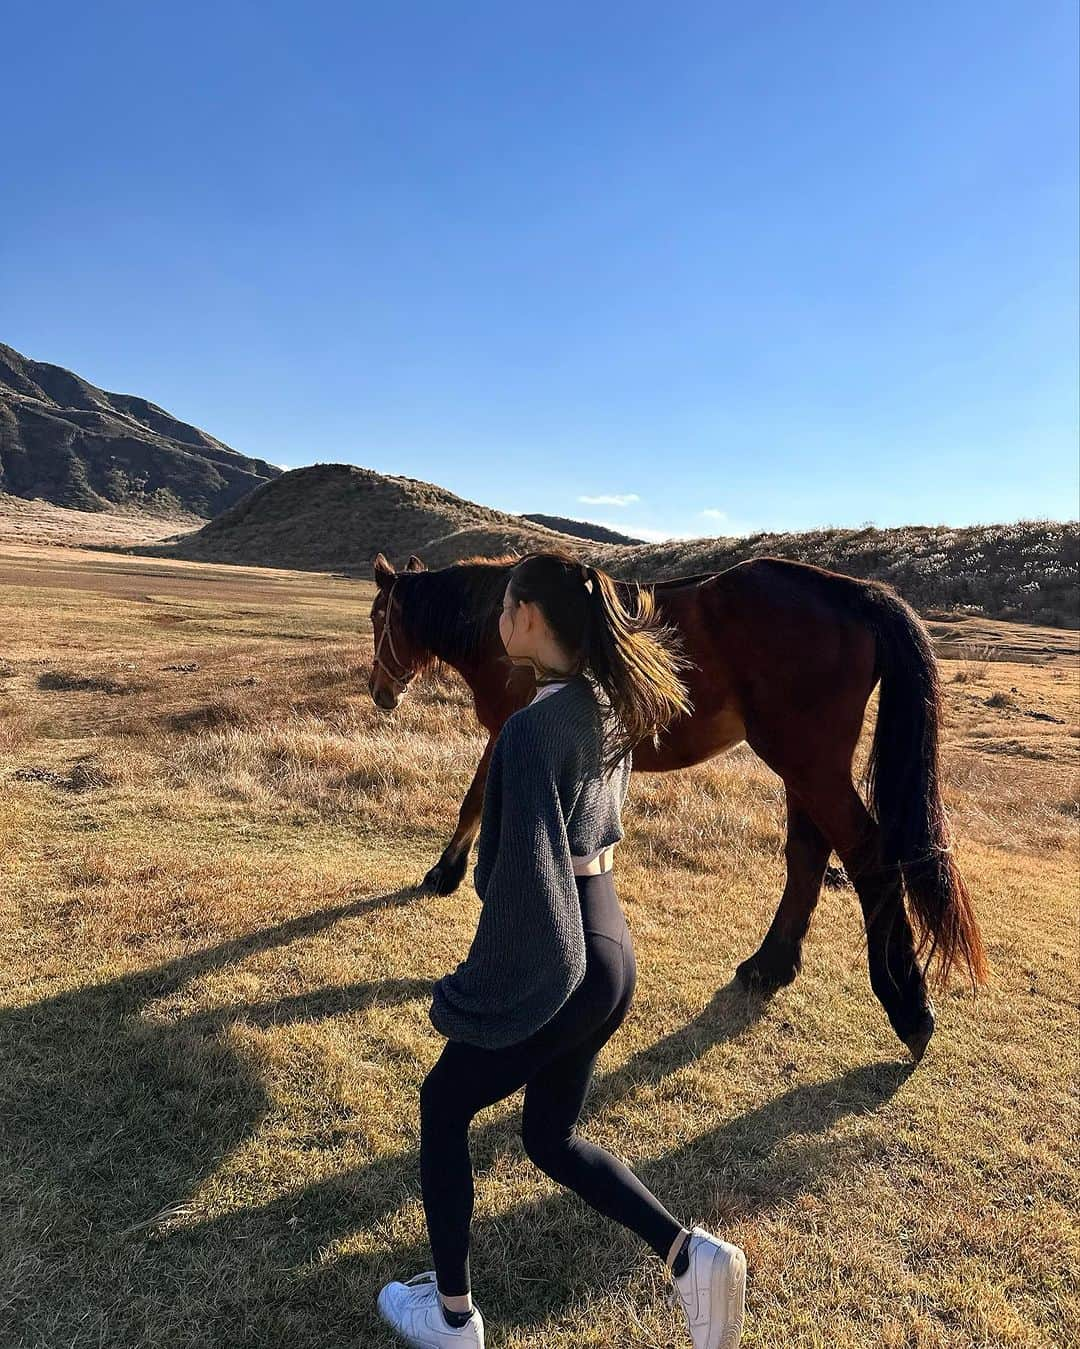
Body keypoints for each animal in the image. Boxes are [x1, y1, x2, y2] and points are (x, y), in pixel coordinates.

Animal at [372, 544, 986, 1052]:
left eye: (379, 618)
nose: (380, 693)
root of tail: (853, 592)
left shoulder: (508, 731)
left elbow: (475, 800)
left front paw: (445, 873)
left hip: (808, 764)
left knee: (866, 854)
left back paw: (907, 1005)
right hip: (805, 768)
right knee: (808, 855)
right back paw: (771, 966)